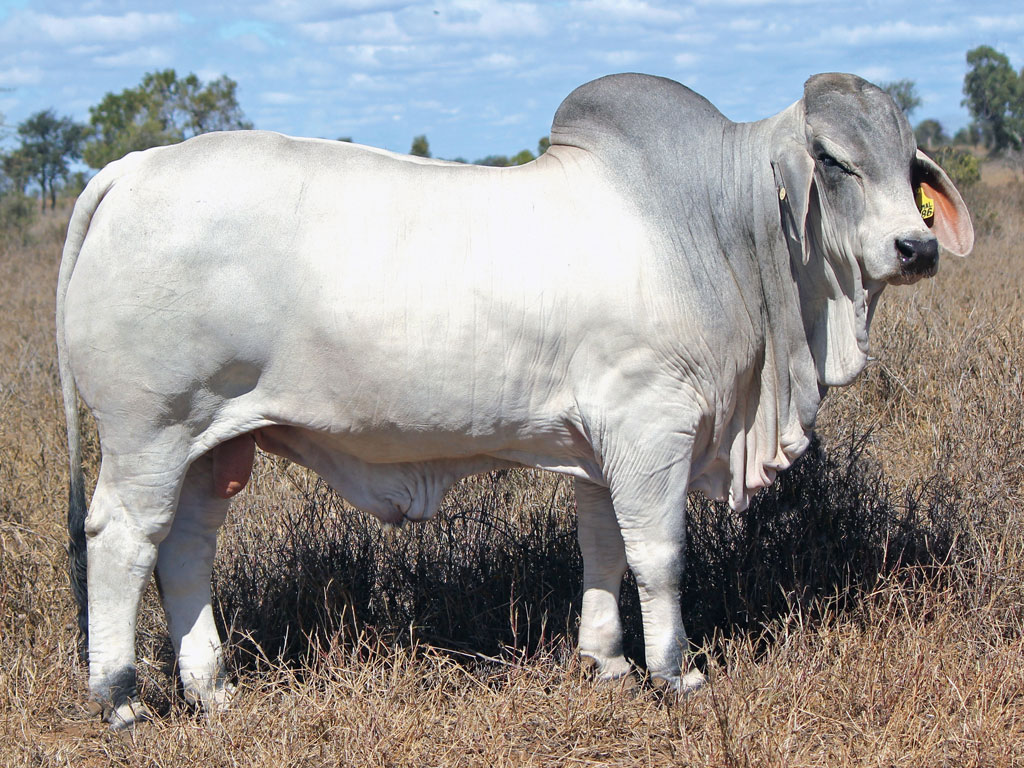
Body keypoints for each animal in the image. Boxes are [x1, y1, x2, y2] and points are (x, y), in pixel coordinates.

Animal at [57, 73, 973, 728]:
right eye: (832, 159)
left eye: (909, 163)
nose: (916, 246)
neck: (715, 226)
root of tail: (131, 169)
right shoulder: (653, 428)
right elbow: (660, 557)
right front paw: (674, 672)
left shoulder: (605, 447)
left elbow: (603, 549)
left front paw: (605, 661)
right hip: (150, 433)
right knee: (123, 540)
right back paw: (121, 698)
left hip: (215, 443)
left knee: (186, 546)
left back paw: (212, 688)